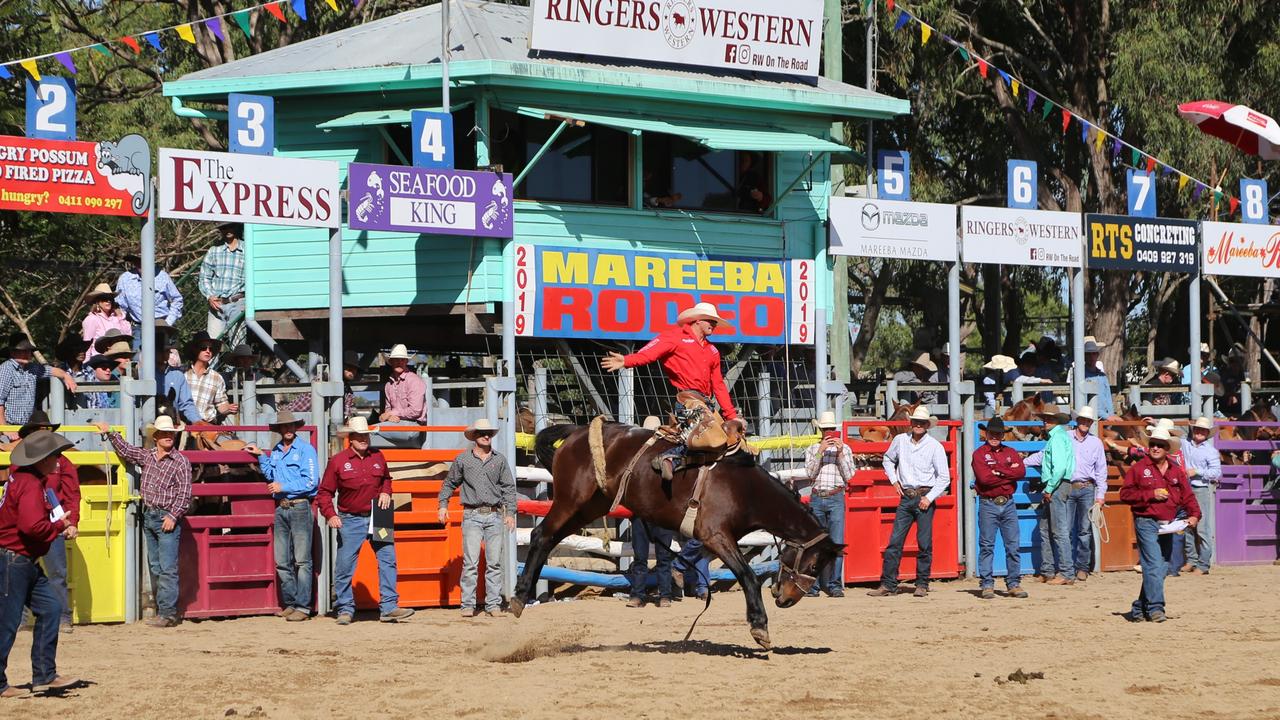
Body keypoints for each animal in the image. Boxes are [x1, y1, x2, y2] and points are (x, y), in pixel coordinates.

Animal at [509, 415, 839, 645]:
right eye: (813, 564)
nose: (787, 598)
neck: (745, 489)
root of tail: (577, 432)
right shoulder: (717, 535)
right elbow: (747, 575)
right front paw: (759, 627)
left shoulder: (709, 537)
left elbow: (697, 557)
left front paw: (682, 575)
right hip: (570, 500)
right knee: (540, 535)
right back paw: (519, 597)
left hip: (590, 507)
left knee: (549, 539)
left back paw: (523, 596)